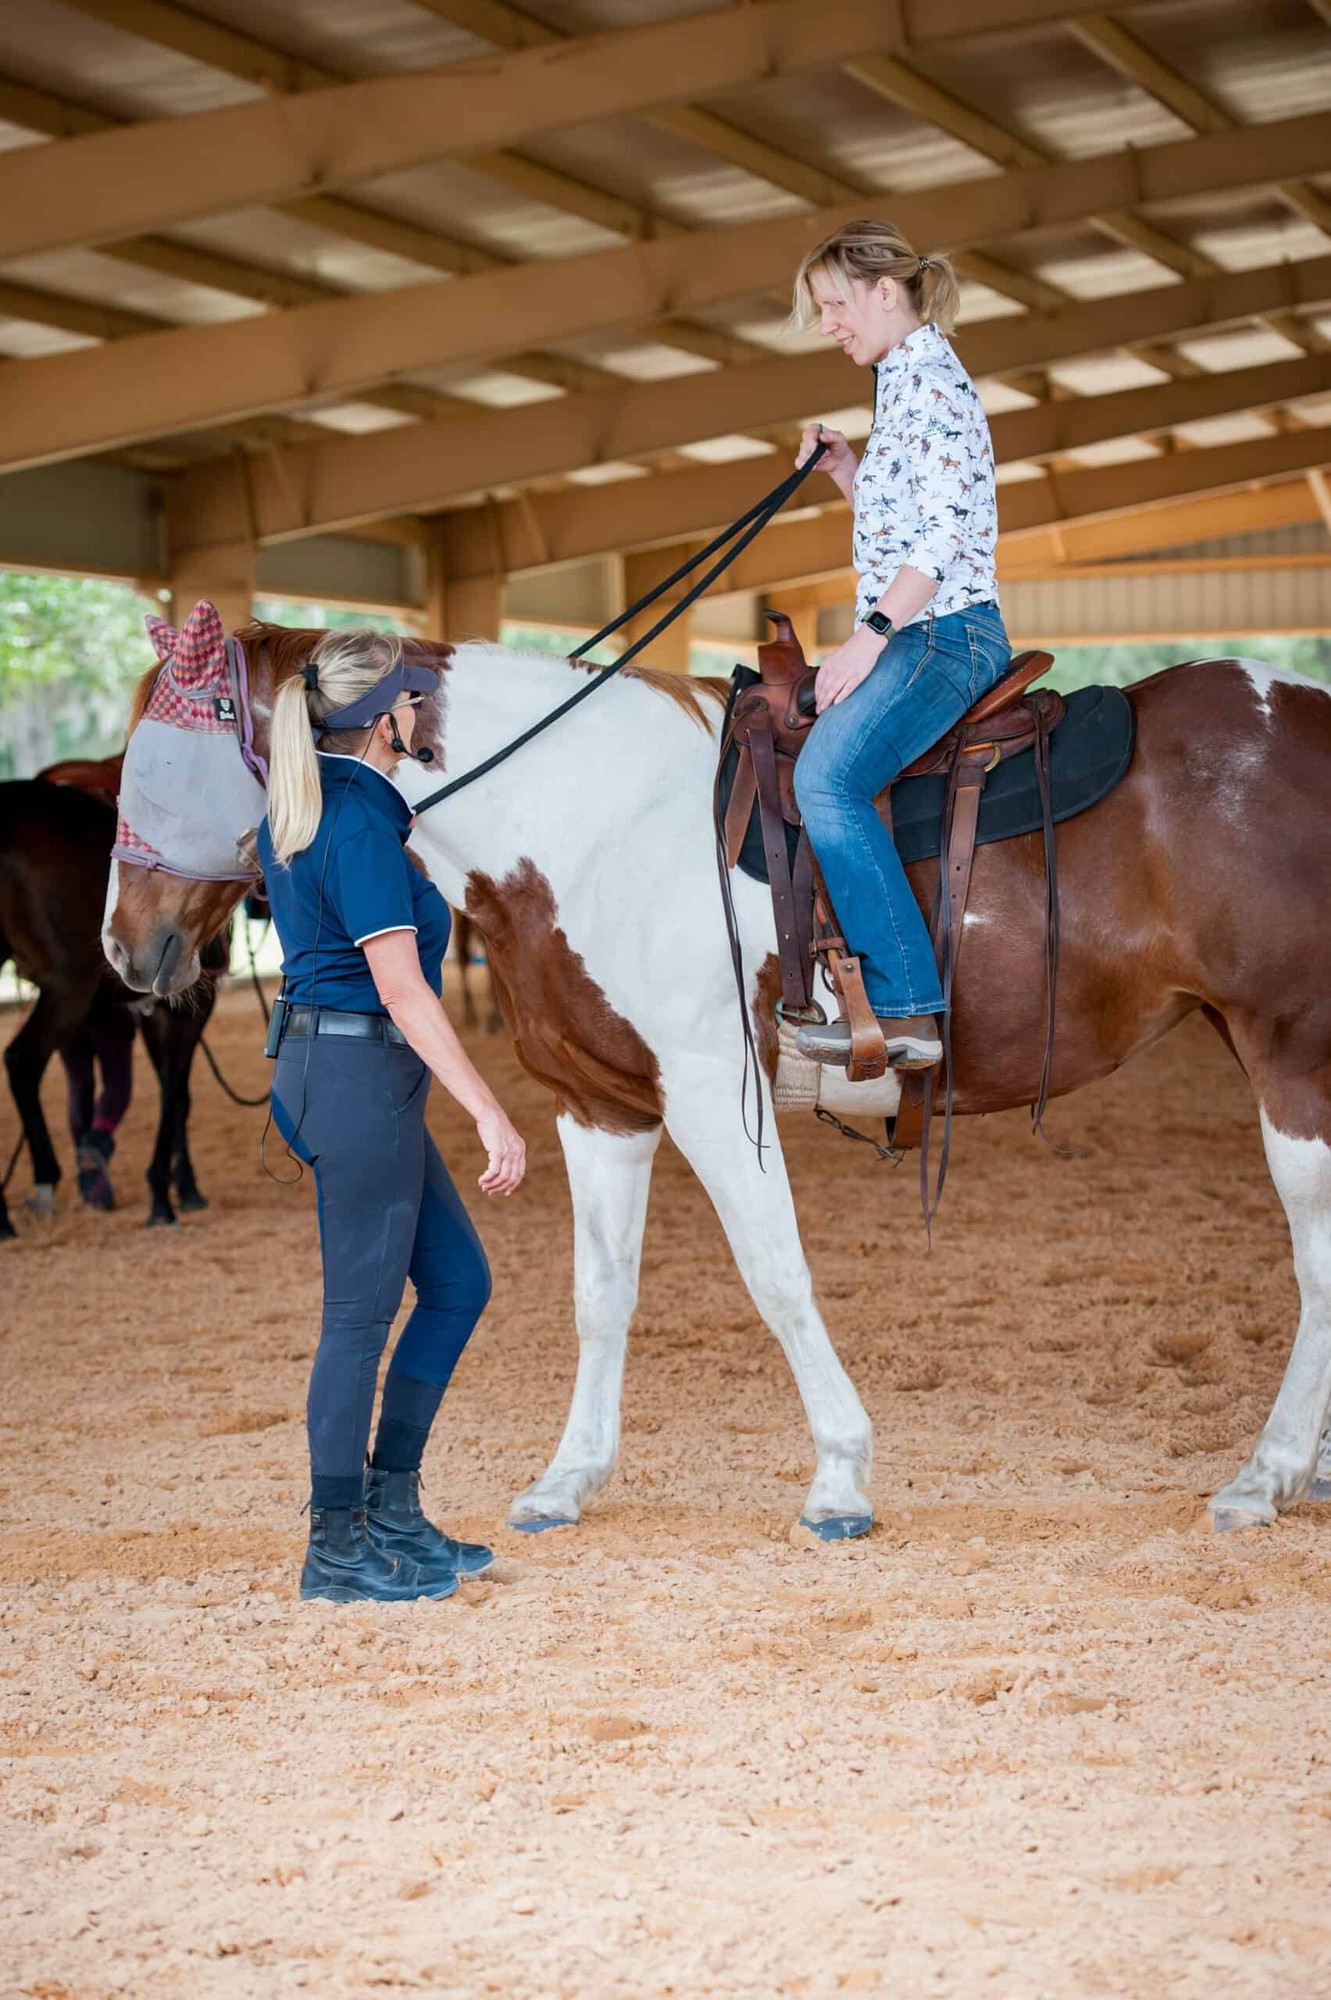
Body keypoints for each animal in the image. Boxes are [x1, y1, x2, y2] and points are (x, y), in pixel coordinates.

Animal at [0, 773, 222, 1238]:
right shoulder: (191, 1008)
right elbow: (175, 1092)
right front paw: (164, 1196)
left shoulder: (155, 1010)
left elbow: (176, 1093)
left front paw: (183, 1186)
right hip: (68, 989)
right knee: (22, 1060)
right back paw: (44, 1183)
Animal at [102, 608, 1331, 1539]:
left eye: (165, 759)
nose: (124, 945)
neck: (580, 815)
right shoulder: (599, 1108)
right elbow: (600, 1293)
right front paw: (567, 1478)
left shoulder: (709, 1095)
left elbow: (775, 1275)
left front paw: (838, 1475)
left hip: (1291, 1056)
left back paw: (1264, 1475)